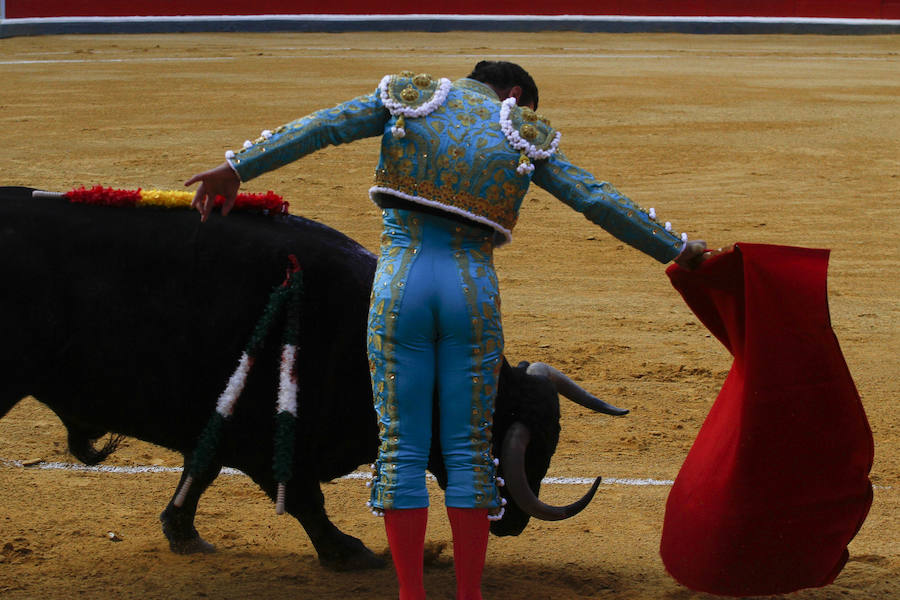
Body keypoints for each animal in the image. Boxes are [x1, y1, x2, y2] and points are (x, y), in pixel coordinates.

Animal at [0, 188, 624, 572]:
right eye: (513, 449)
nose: (512, 523)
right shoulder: (273, 439)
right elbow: (304, 500)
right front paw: (349, 552)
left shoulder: (224, 423)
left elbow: (199, 472)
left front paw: (182, 532)